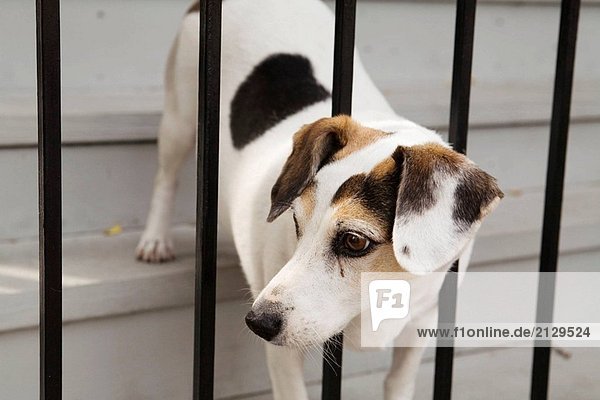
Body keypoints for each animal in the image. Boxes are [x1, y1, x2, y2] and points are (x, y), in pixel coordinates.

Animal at [135, 1, 502, 398]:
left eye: (354, 241)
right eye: (296, 221)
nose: (258, 323)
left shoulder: (420, 327)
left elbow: (398, 381)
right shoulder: (283, 356)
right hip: (180, 119)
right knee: (166, 177)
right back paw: (155, 239)